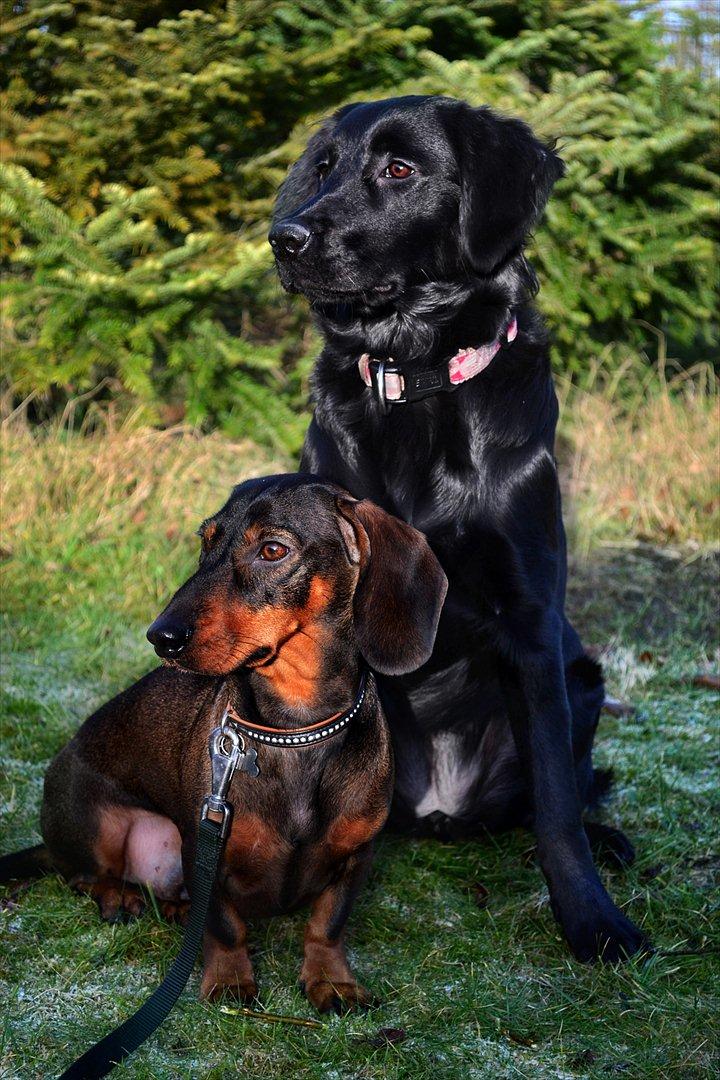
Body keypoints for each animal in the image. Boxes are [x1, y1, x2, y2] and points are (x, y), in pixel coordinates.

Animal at [267, 95, 651, 963]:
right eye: (324, 166)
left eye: (399, 168)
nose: (285, 238)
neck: (417, 380)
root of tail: (441, 805)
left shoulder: (532, 618)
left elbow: (556, 803)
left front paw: (593, 921)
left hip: (583, 675)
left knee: (556, 791)